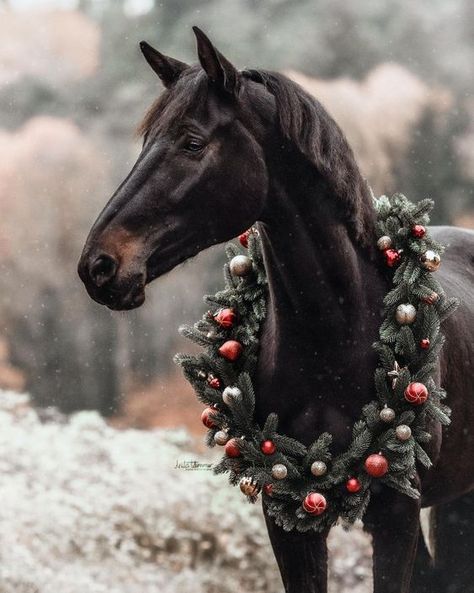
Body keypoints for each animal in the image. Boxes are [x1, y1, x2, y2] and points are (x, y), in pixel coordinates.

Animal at [78, 26, 474, 592]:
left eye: (192, 142)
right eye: (147, 141)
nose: (99, 265)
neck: (338, 335)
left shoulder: (397, 516)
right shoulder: (288, 515)